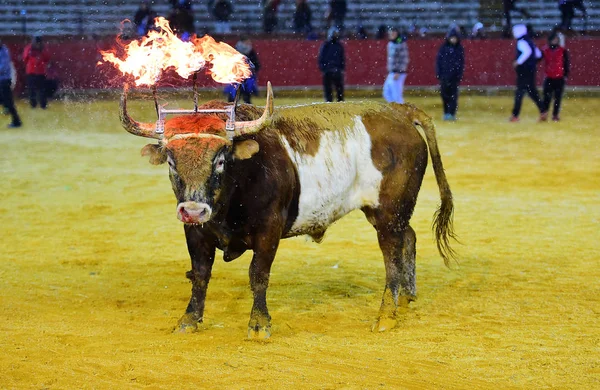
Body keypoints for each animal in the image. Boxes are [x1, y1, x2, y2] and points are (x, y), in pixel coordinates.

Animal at [118, 82, 454, 338]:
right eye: (171, 162)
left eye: (221, 159)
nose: (193, 210)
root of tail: (398, 111)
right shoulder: (195, 232)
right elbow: (200, 274)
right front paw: (189, 319)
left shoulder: (269, 229)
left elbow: (258, 274)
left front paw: (259, 324)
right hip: (388, 213)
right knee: (409, 238)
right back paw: (406, 297)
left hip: (389, 212)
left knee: (392, 256)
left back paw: (386, 314)